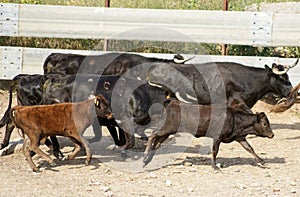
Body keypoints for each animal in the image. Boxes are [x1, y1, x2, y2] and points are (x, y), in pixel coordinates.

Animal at [144, 99, 276, 170]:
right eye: (265, 123)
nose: (272, 135)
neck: (234, 118)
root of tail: (172, 103)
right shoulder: (217, 137)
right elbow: (214, 151)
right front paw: (214, 166)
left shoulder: (240, 137)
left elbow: (249, 148)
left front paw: (261, 161)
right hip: (167, 128)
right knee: (152, 136)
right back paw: (145, 156)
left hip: (168, 132)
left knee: (157, 142)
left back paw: (148, 160)